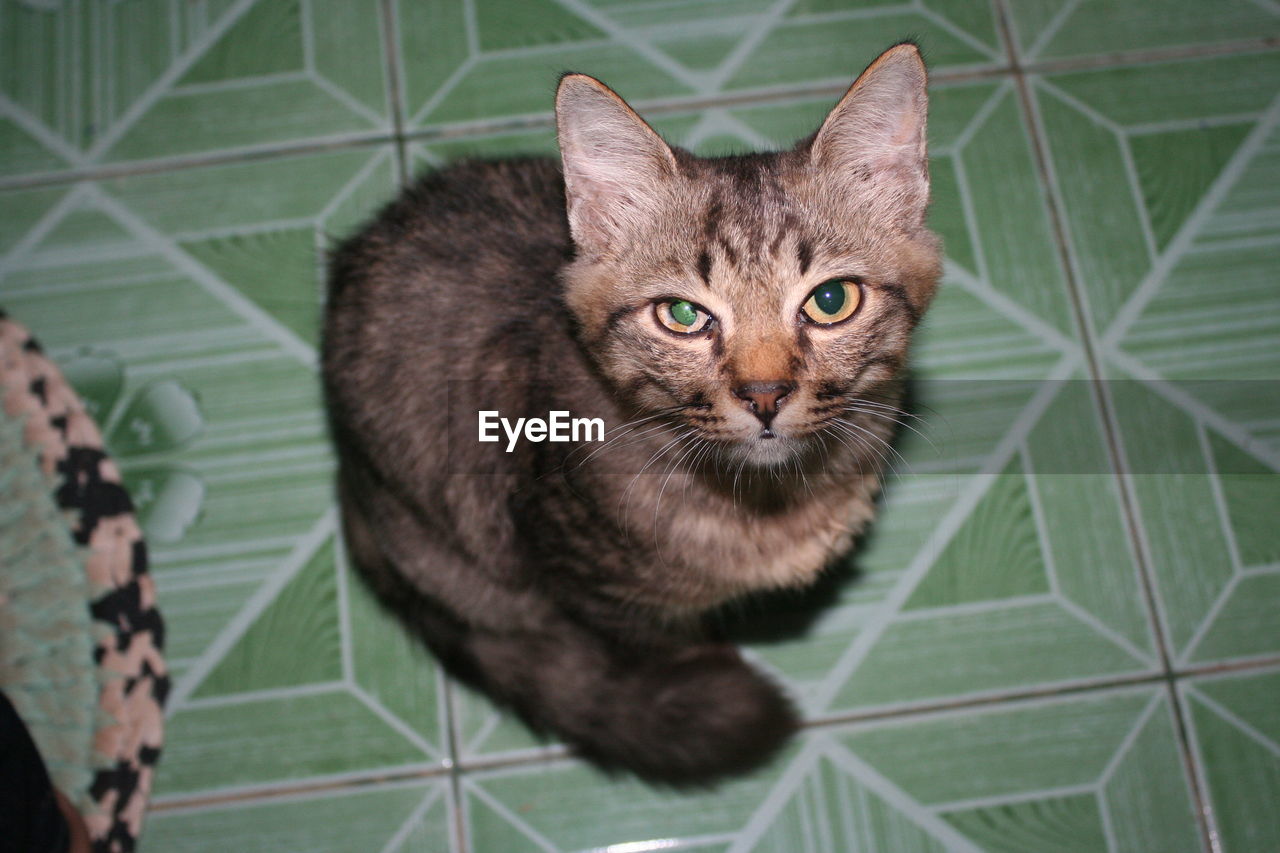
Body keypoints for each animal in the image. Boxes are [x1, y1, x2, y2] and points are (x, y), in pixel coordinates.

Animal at [320, 43, 942, 778]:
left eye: (831, 300)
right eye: (681, 315)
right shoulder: (597, 592)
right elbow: (672, 642)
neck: (769, 503)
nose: (764, 393)